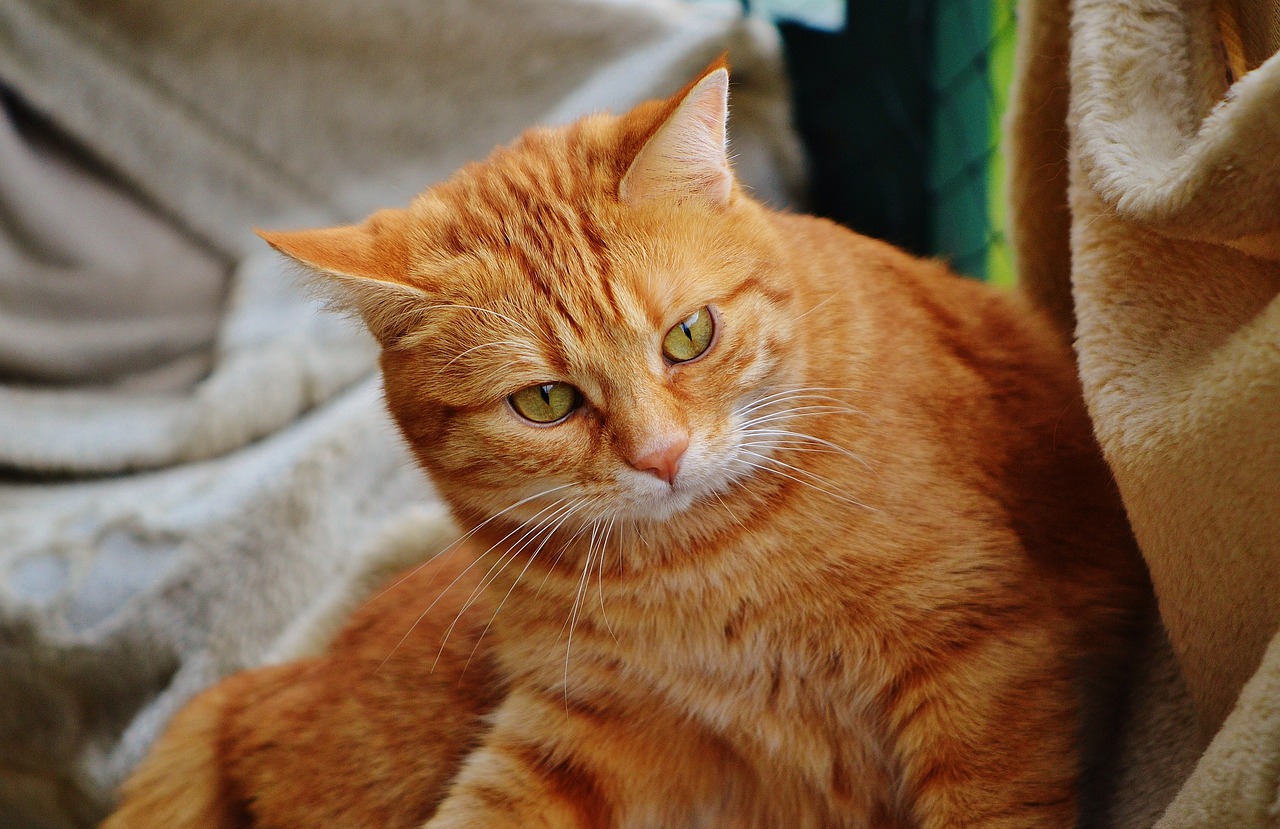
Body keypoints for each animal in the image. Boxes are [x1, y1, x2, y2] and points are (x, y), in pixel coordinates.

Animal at [102, 59, 1141, 829]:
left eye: (689, 336)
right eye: (546, 400)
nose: (661, 455)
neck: (709, 567)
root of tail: (254, 683)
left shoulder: (979, 652)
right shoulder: (581, 733)